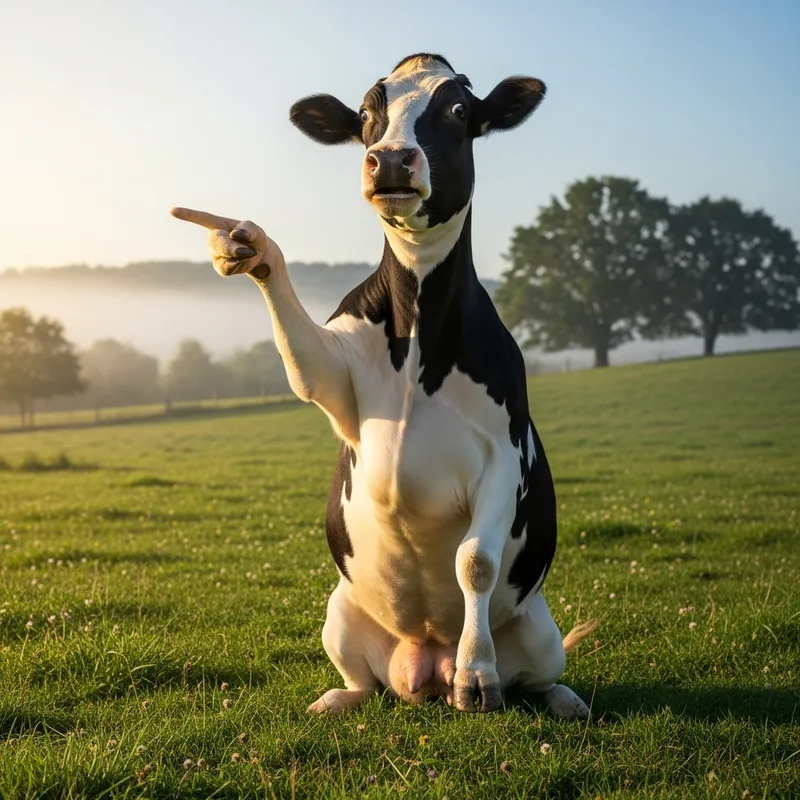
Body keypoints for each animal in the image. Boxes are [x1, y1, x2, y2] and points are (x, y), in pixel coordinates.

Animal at [171, 53, 598, 718]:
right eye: (368, 114)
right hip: (339, 614)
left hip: (541, 630)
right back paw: (336, 700)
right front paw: (246, 243)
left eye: (457, 110)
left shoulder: (505, 453)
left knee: (540, 674)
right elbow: (302, 364)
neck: (418, 331)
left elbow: (475, 561)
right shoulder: (333, 378)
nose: (392, 158)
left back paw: (557, 697)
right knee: (364, 680)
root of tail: (427, 661)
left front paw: (477, 678)